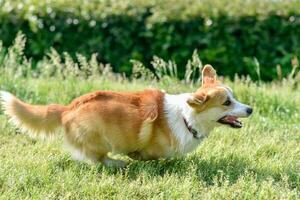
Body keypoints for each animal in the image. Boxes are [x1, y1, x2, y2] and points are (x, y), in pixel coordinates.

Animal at [0, 65, 253, 166]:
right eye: (227, 102)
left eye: (234, 96)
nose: (250, 109)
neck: (187, 118)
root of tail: (67, 108)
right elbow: (147, 156)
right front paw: (135, 158)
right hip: (100, 139)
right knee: (97, 159)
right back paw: (117, 163)